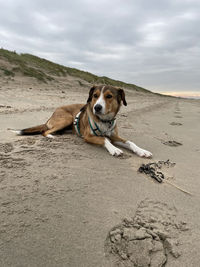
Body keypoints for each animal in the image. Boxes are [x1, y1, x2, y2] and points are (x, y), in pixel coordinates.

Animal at [11, 85, 152, 158]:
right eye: (95, 95)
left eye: (109, 96)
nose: (97, 107)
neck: (104, 121)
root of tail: (53, 113)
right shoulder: (88, 136)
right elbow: (104, 139)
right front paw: (114, 149)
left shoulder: (114, 136)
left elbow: (130, 142)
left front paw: (142, 151)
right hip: (67, 119)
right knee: (45, 131)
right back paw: (51, 136)